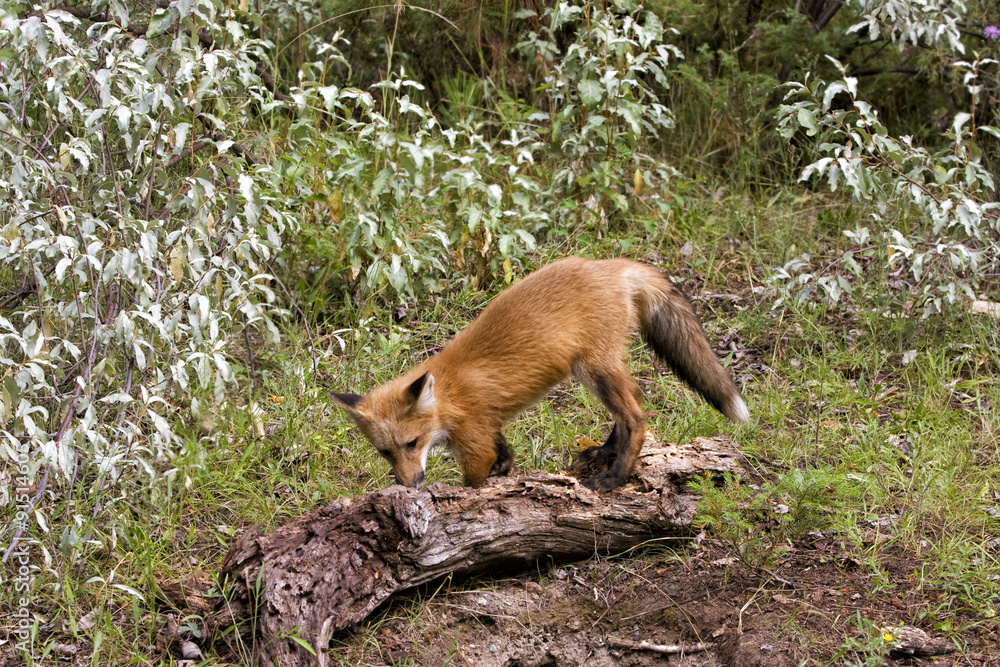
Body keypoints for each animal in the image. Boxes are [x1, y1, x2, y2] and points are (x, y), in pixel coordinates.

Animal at [332, 256, 749, 493]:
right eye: (385, 452)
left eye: (412, 444)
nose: (409, 485)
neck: (450, 397)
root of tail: (611, 263)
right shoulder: (491, 430)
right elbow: (505, 456)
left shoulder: (475, 441)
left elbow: (476, 481)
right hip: (598, 369)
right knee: (633, 403)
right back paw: (605, 453)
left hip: (594, 368)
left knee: (636, 417)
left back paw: (614, 477)